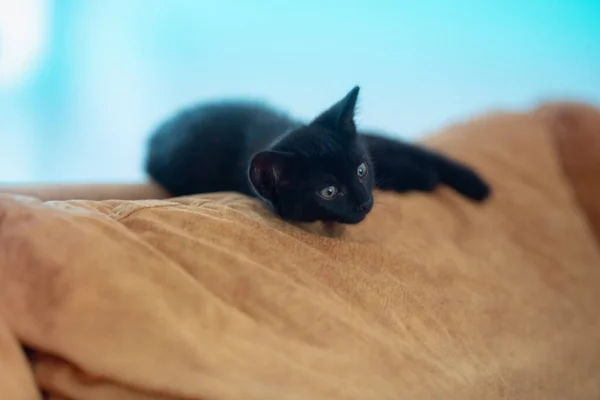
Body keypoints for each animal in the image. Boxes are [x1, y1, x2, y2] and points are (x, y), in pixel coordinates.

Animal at [144, 86, 488, 223]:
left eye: (362, 170)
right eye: (329, 192)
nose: (364, 203)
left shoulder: (373, 142)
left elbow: (415, 149)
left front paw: (477, 184)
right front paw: (423, 177)